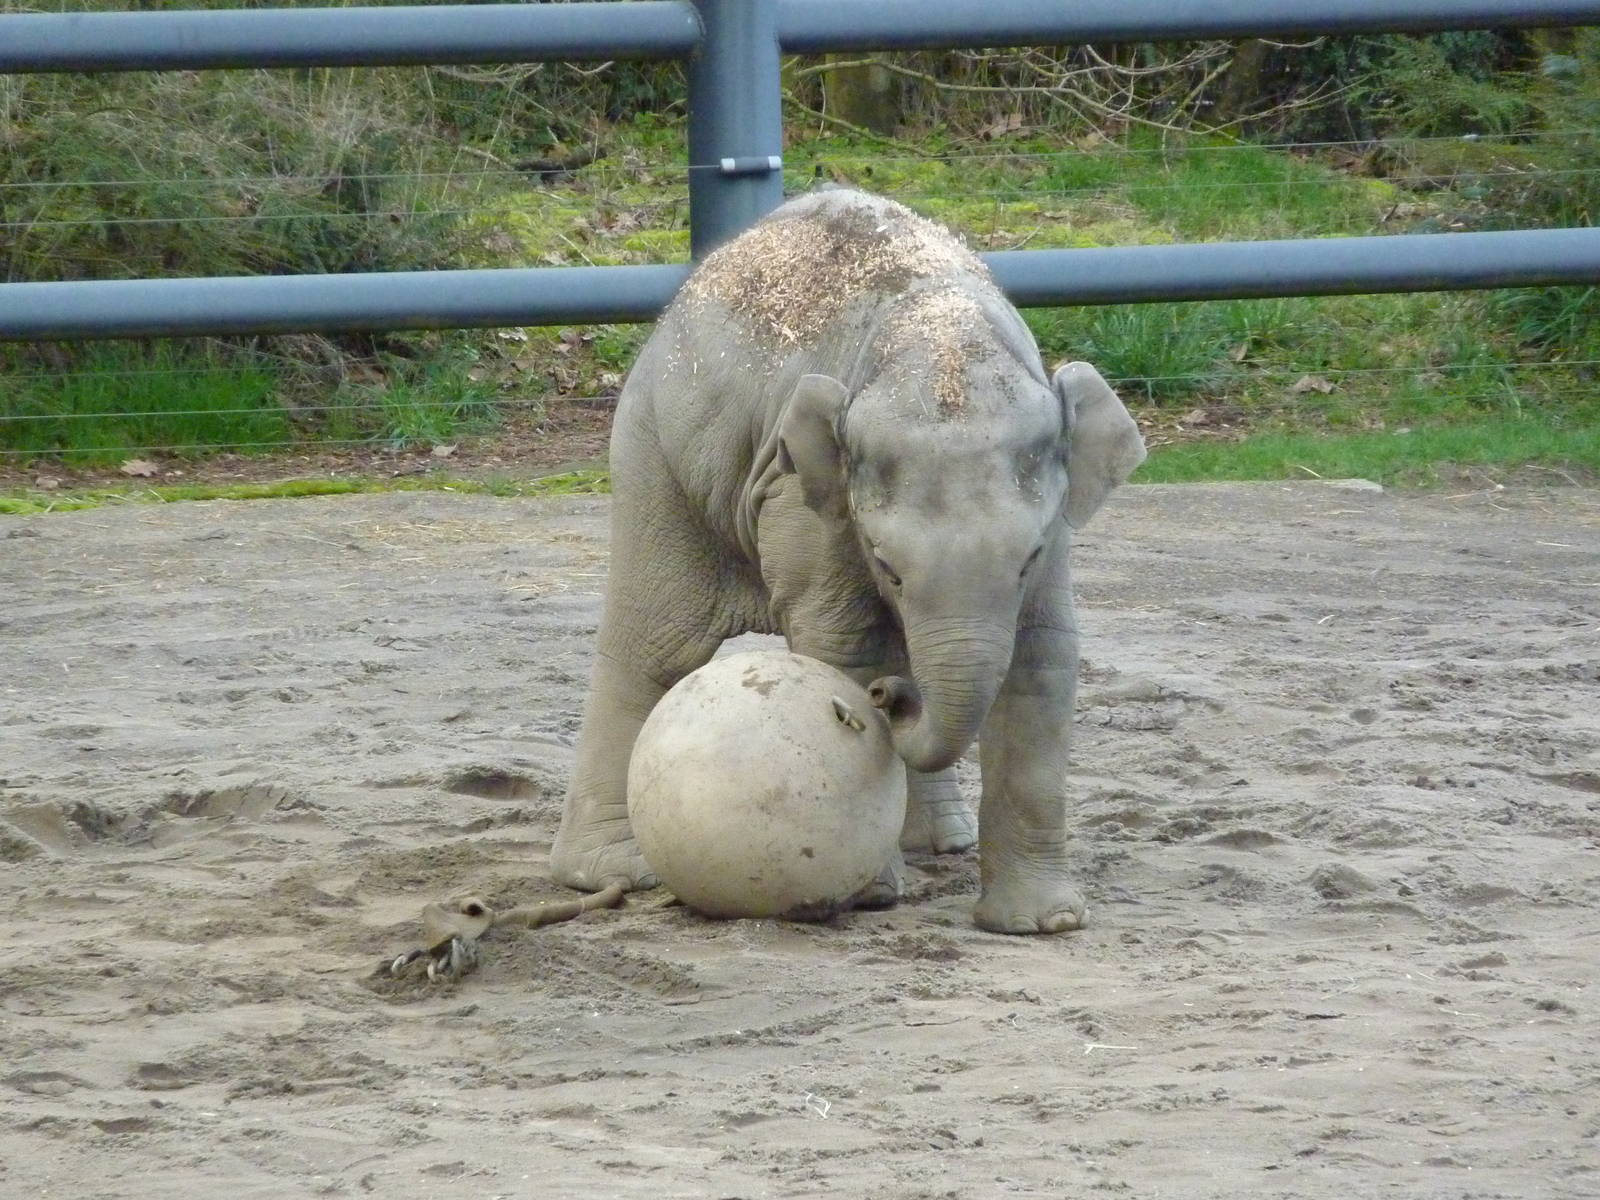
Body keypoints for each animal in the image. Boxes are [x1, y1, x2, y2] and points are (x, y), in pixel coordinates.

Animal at [550, 187, 1146, 933]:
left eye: (1029, 558)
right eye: (886, 565)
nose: (891, 700)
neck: (934, 332)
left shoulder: (1057, 518)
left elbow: (1043, 656)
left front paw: (1043, 925)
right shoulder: (803, 493)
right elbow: (847, 639)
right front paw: (870, 893)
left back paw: (939, 843)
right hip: (655, 454)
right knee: (655, 644)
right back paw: (609, 874)